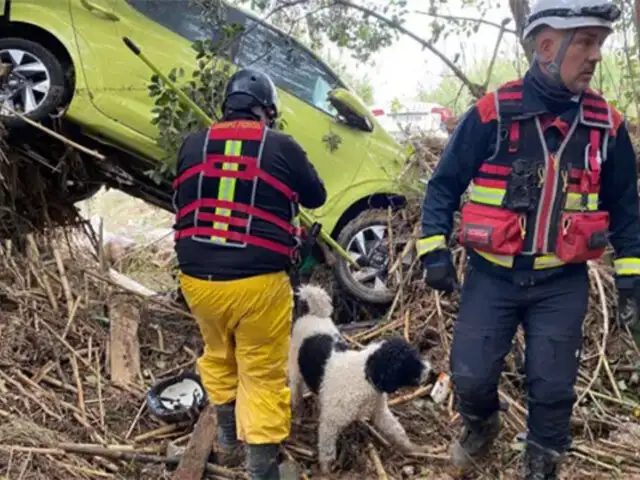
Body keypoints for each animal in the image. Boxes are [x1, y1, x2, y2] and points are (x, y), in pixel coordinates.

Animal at [290, 284, 436, 474]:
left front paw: (413, 449)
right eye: (408, 363)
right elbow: (327, 450)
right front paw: (326, 471)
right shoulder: (330, 423)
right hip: (294, 373)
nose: (432, 372)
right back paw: (299, 415)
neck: (365, 376)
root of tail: (313, 314)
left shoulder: (380, 412)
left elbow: (397, 431)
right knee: (296, 395)